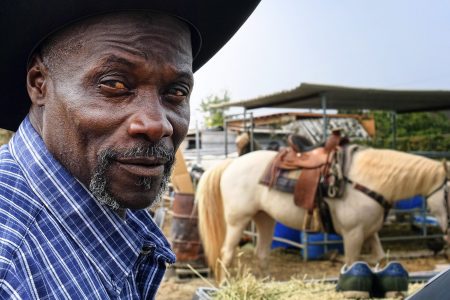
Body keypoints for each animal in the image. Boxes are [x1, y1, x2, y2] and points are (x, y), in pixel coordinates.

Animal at [198, 146, 450, 276]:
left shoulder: (370, 233)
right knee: (226, 254)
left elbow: (380, 260)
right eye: (448, 194)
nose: (447, 235)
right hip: (237, 221)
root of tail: (231, 163)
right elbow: (351, 264)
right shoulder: (353, 234)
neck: (366, 181)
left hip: (265, 218)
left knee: (261, 253)